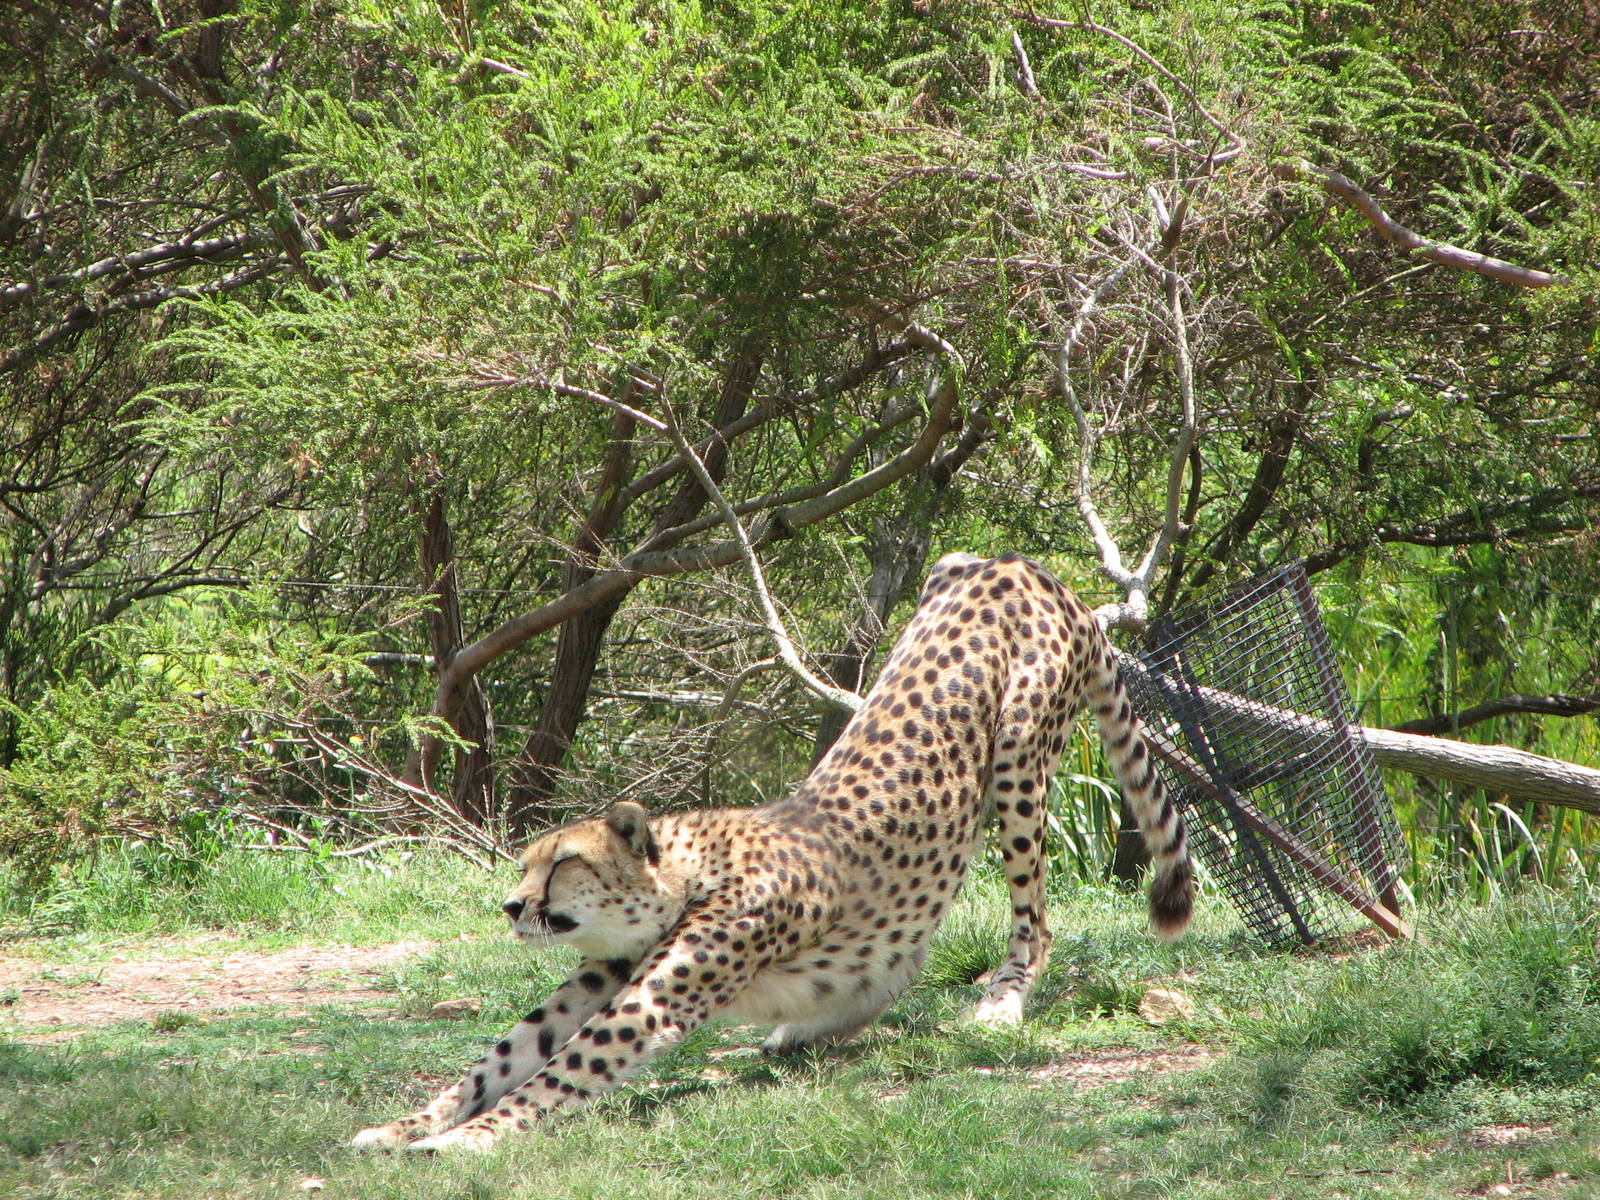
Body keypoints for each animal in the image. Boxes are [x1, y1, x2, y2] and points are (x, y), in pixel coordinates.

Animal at [352, 552, 1192, 1153]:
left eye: (563, 865)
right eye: (527, 863)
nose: (511, 906)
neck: (683, 877)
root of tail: (1027, 566)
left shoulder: (650, 998)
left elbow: (558, 1073)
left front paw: (465, 1142)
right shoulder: (603, 975)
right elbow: (500, 1057)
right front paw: (404, 1127)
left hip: (1021, 754)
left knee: (1034, 921)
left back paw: (1001, 1001)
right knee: (901, 959)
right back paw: (813, 1022)